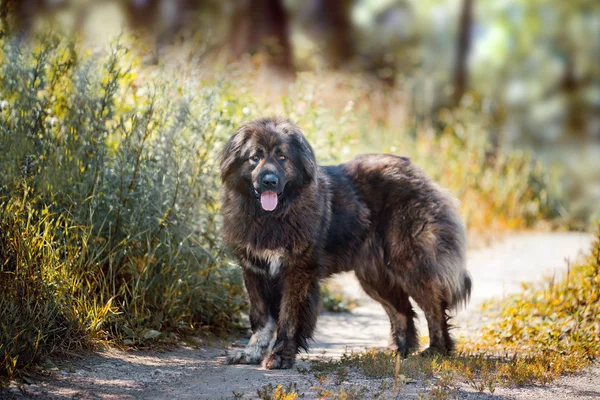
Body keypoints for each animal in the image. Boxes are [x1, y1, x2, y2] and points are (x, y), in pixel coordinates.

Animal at [220, 117, 474, 370]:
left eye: (282, 157)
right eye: (255, 157)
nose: (269, 181)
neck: (271, 216)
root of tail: (417, 172)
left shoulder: (297, 272)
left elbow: (288, 318)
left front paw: (280, 356)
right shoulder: (253, 270)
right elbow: (261, 318)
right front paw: (251, 353)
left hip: (409, 263)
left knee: (434, 306)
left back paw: (436, 350)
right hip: (374, 277)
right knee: (402, 310)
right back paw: (398, 352)